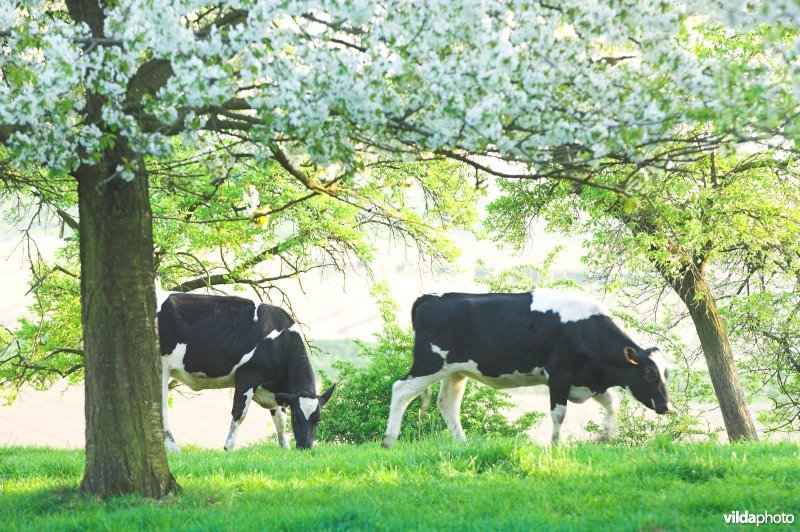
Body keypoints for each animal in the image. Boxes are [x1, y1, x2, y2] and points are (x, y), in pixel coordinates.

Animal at [157, 292, 335, 451]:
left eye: (318, 420)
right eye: (296, 417)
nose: (305, 447)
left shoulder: (274, 391)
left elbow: (280, 419)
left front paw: (285, 447)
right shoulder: (248, 375)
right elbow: (239, 412)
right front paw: (228, 447)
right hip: (162, 366)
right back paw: (173, 449)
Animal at [382, 289, 671, 447]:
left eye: (666, 374)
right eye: (649, 374)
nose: (667, 406)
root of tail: (431, 298)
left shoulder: (589, 379)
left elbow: (613, 404)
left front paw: (608, 437)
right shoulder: (559, 374)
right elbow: (559, 414)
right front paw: (556, 446)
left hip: (455, 371)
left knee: (447, 404)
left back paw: (463, 445)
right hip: (429, 363)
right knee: (401, 389)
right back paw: (389, 440)